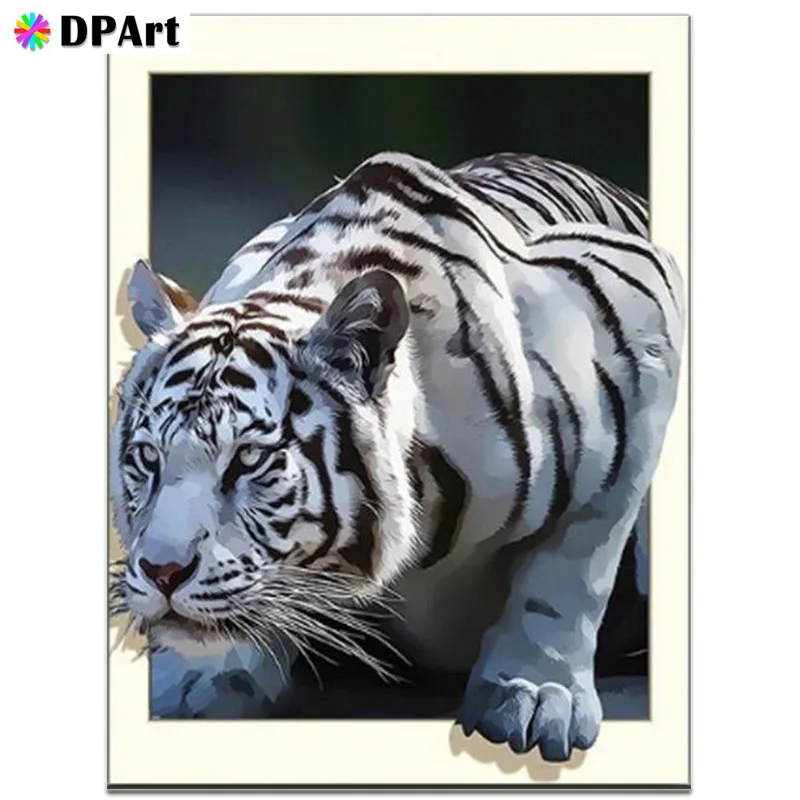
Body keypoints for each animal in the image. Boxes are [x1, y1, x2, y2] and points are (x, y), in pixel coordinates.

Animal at [110, 151, 683, 762]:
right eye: (147, 458)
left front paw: (532, 693)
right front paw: (202, 671)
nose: (162, 573)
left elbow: (571, 566)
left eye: (248, 460)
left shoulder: (641, 323)